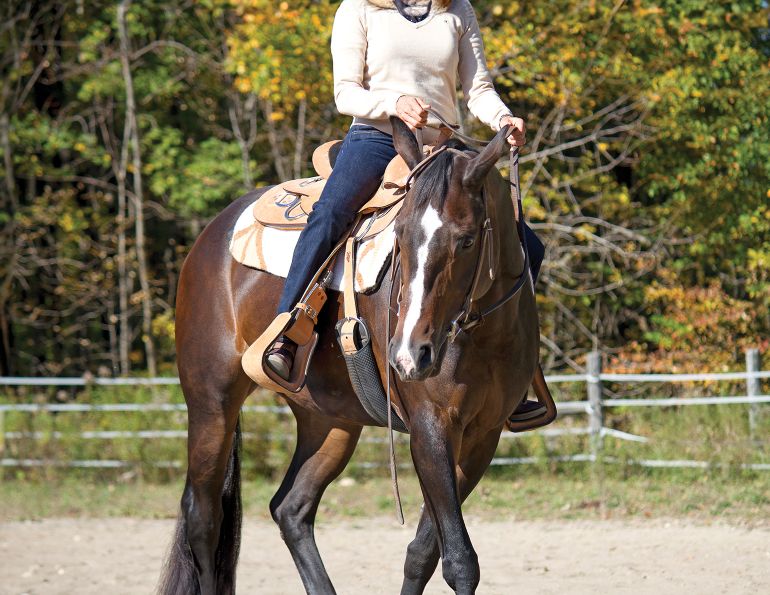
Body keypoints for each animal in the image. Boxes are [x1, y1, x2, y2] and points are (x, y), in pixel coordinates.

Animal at [158, 117, 539, 595]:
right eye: (400, 236)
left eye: (467, 240)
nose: (410, 356)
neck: (483, 334)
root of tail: (210, 237)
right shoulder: (430, 428)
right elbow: (459, 561)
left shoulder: (482, 436)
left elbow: (423, 552)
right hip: (211, 403)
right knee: (204, 519)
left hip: (329, 422)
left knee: (291, 508)